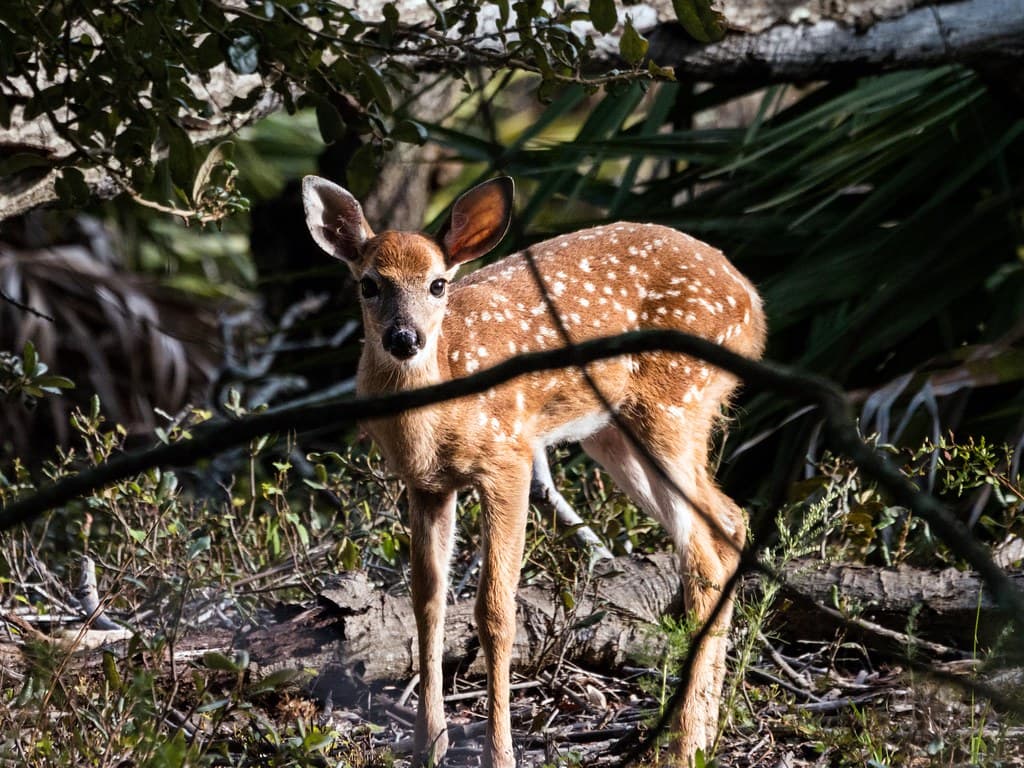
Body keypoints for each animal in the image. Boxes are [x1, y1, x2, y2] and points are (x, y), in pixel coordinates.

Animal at [302, 174, 766, 768]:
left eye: (437, 285)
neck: (431, 420)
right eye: (368, 284)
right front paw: (428, 744)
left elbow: (496, 612)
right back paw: (706, 732)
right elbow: (426, 602)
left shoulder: (510, 457)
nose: (404, 339)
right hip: (613, 433)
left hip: (673, 406)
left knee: (704, 554)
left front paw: (499, 753)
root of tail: (753, 301)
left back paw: (683, 745)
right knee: (728, 523)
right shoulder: (426, 484)